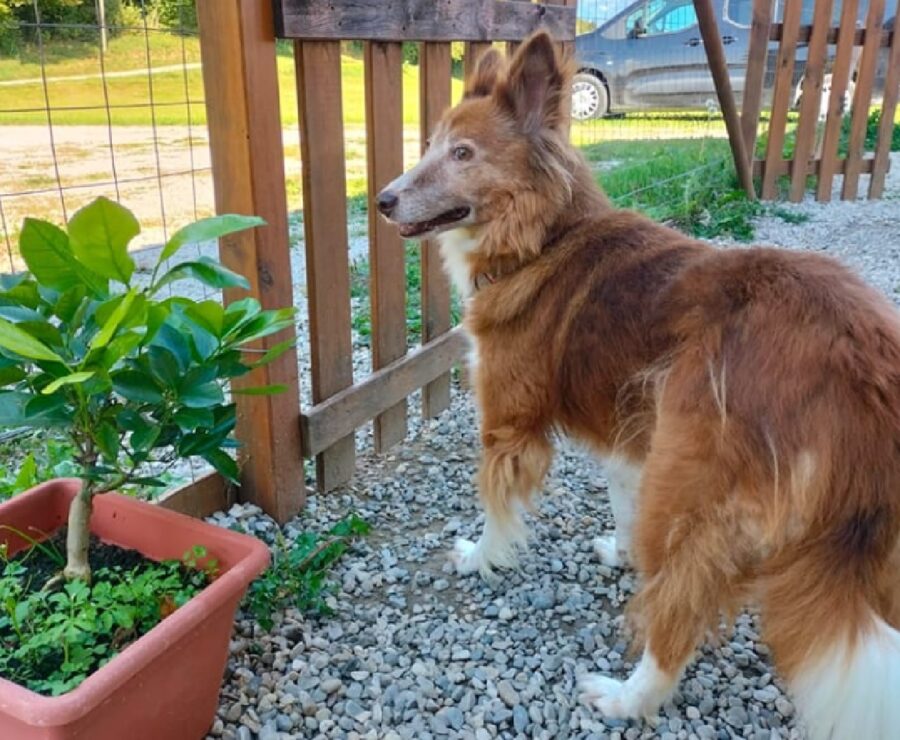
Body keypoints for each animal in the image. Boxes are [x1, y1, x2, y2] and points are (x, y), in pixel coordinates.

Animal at [374, 31, 900, 736]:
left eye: (462, 154)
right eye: (431, 143)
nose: (382, 200)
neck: (543, 238)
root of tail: (861, 358)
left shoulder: (508, 424)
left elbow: (494, 507)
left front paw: (482, 559)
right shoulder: (626, 436)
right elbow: (619, 501)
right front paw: (617, 554)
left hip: (687, 490)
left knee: (675, 618)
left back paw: (626, 697)